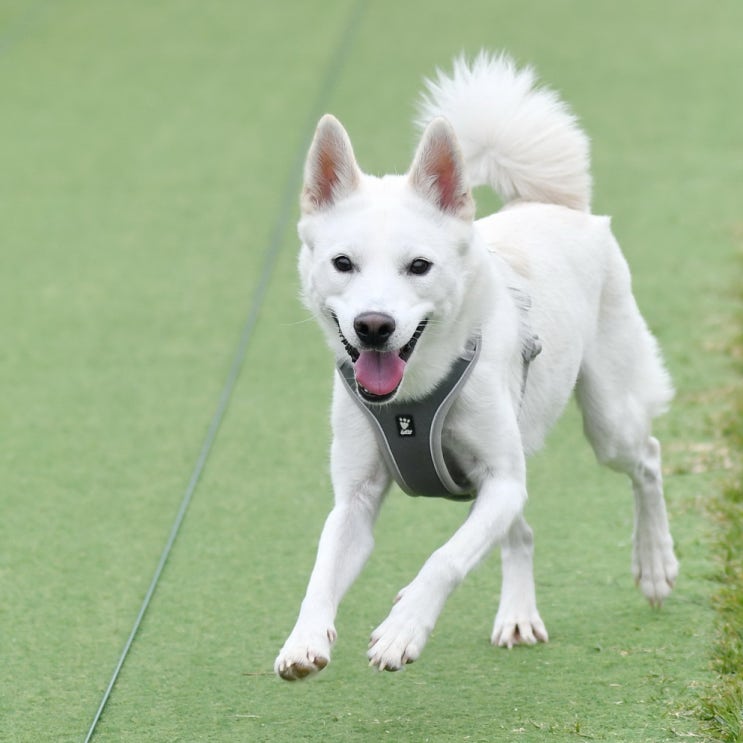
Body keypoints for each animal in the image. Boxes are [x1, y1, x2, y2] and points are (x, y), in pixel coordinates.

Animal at [274, 50, 680, 680]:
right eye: (343, 263)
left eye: (419, 266)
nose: (373, 325)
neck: (411, 400)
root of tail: (551, 204)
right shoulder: (356, 500)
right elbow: (321, 571)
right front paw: (304, 640)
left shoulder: (503, 481)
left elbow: (444, 559)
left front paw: (402, 629)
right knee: (523, 535)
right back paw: (517, 615)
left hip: (609, 421)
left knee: (649, 461)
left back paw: (655, 564)